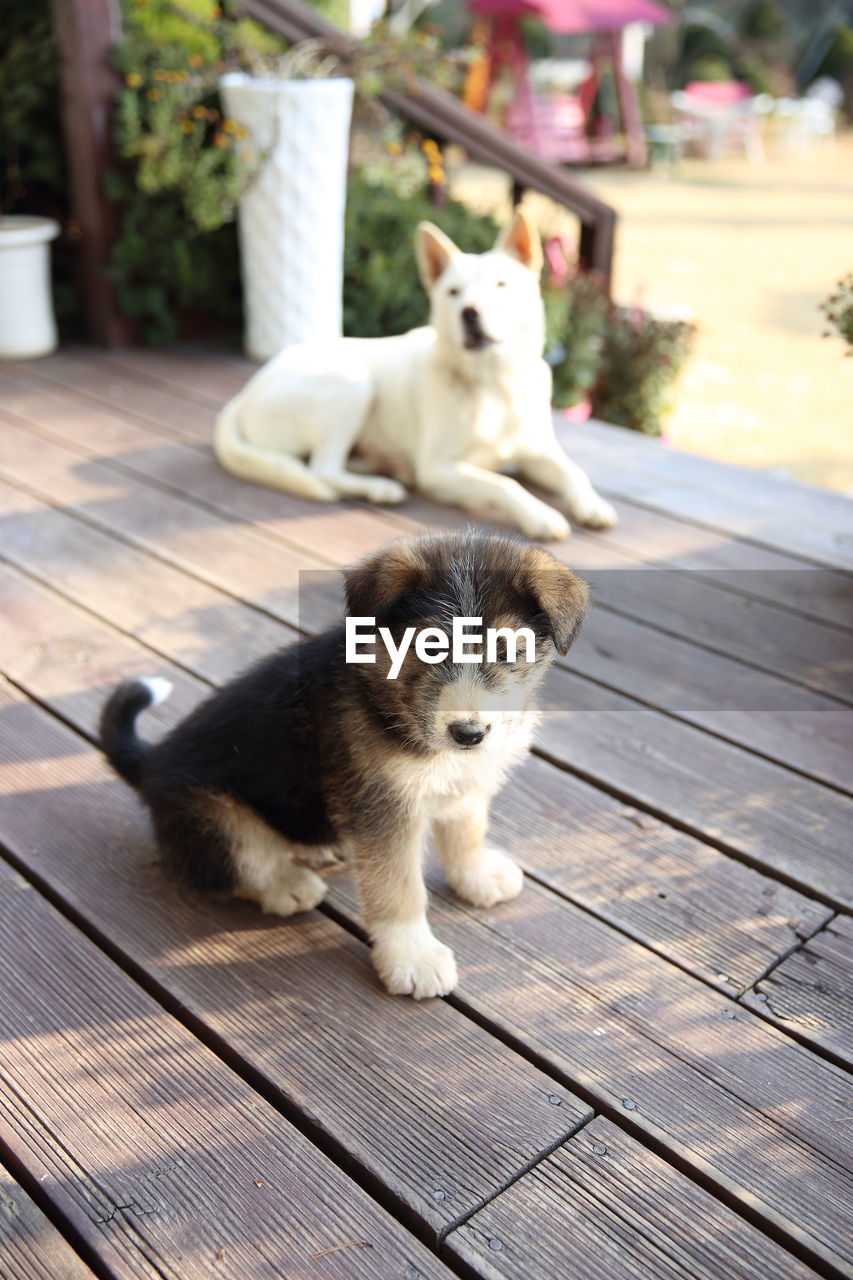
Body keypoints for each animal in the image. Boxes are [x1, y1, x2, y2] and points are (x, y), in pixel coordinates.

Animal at [99, 529, 589, 998]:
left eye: (509, 651)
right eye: (429, 647)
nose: (468, 734)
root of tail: (152, 763)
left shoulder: (464, 781)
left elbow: (466, 831)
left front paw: (478, 876)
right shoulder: (383, 808)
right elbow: (398, 889)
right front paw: (412, 958)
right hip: (212, 812)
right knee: (238, 861)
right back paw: (286, 883)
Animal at [212, 206, 612, 545]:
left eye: (501, 285)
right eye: (453, 292)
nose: (470, 312)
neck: (494, 385)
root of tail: (245, 394)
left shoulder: (538, 452)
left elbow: (572, 471)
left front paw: (592, 505)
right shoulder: (438, 470)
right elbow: (502, 484)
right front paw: (540, 516)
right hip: (352, 382)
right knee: (322, 469)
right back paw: (380, 487)